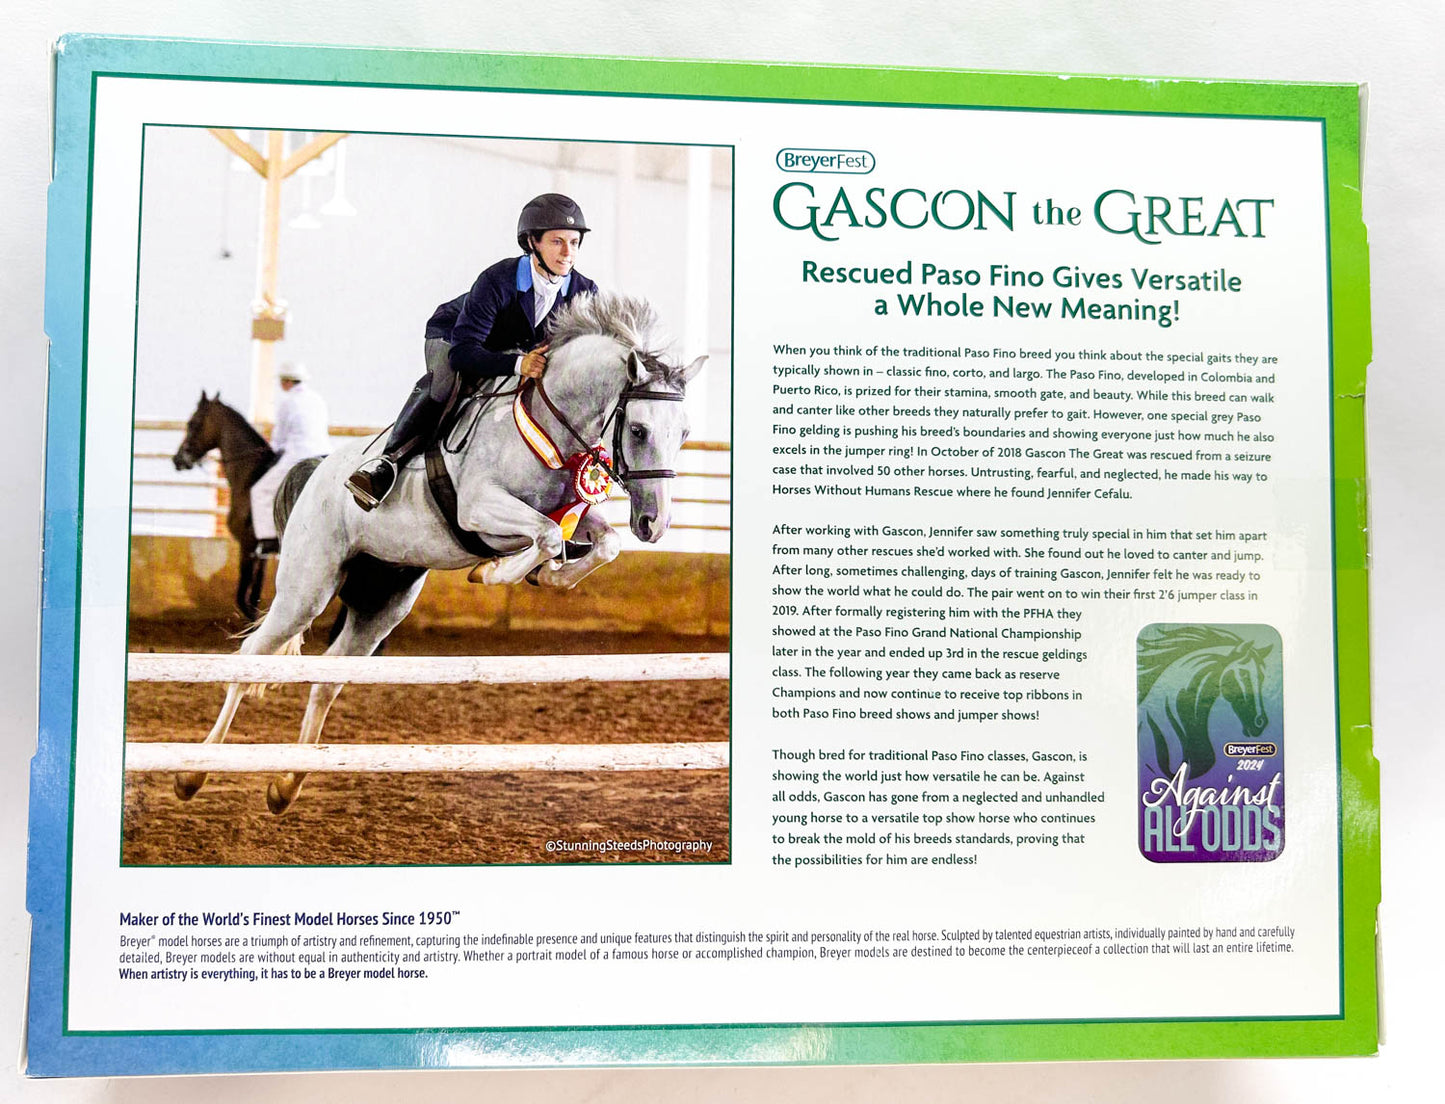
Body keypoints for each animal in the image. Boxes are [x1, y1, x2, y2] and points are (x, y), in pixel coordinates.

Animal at [172, 393, 278, 621]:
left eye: (192, 423)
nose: (177, 459)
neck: (250, 477)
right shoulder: (262, 551)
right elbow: (254, 594)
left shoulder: (248, 544)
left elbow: (244, 598)